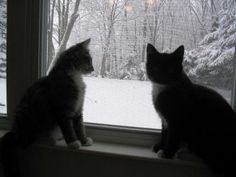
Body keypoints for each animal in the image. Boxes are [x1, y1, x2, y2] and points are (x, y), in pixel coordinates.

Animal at [0, 38, 94, 177]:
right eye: (88, 60)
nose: (93, 69)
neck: (74, 76)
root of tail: (15, 131)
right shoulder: (62, 109)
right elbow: (68, 128)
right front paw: (73, 143)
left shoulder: (78, 110)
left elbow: (79, 127)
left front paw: (84, 140)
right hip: (31, 118)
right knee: (26, 141)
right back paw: (49, 139)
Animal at [147, 43, 236, 177]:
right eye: (155, 67)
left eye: (170, 69)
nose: (161, 77)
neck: (164, 89)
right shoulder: (164, 119)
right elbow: (165, 133)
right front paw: (160, 146)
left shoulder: (177, 119)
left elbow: (172, 136)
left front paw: (167, 153)